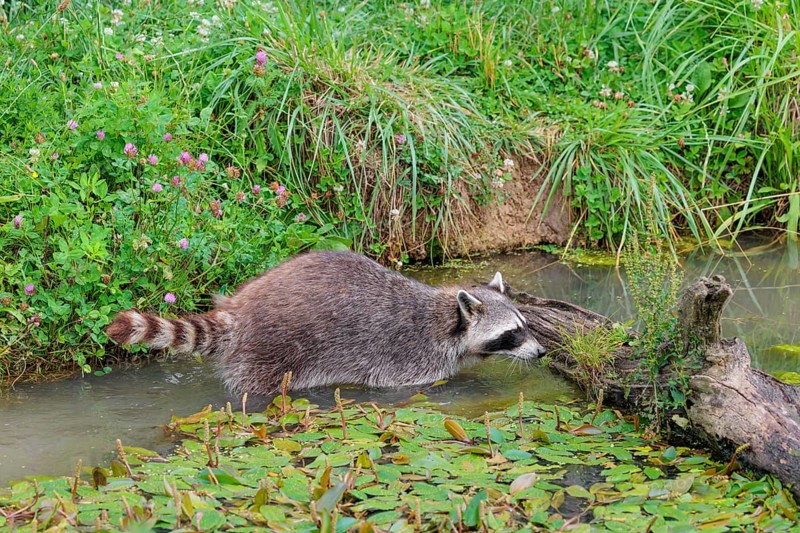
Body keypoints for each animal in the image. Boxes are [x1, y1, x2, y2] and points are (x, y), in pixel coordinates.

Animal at [106, 251, 546, 395]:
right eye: (513, 333)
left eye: (525, 324)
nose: (541, 352)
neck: (447, 321)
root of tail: (240, 310)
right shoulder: (410, 356)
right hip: (271, 349)